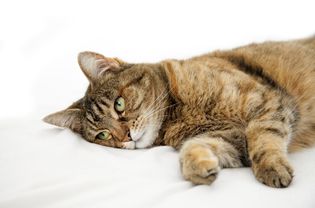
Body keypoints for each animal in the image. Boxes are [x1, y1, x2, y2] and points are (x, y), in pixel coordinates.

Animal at [43, 35, 315, 188]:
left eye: (119, 105)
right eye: (103, 135)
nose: (126, 137)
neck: (178, 111)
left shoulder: (266, 103)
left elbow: (263, 137)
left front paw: (271, 167)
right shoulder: (231, 138)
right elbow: (193, 147)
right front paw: (199, 166)